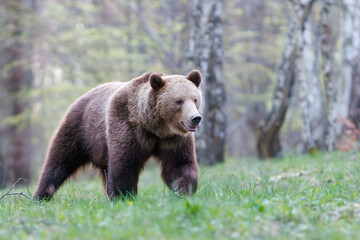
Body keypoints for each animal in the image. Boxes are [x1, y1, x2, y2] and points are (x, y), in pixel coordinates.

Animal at [33, 70, 202, 201]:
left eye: (195, 99)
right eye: (179, 101)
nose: (195, 118)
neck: (152, 126)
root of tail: (82, 96)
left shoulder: (173, 138)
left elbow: (179, 164)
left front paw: (182, 188)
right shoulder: (126, 125)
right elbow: (124, 163)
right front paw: (123, 195)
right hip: (81, 129)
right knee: (60, 160)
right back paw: (41, 195)